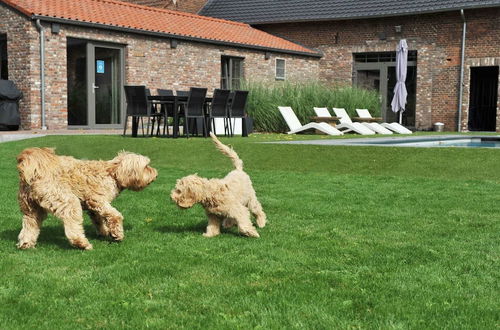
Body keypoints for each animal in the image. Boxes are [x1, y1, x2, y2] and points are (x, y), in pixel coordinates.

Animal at [16, 148, 156, 250]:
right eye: (146, 166)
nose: (156, 173)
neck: (112, 173)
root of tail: (35, 172)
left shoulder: (93, 207)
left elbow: (98, 220)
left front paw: (104, 232)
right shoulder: (97, 200)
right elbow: (115, 216)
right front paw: (117, 234)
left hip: (31, 209)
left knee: (30, 225)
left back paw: (26, 244)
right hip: (67, 201)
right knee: (72, 224)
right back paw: (81, 243)